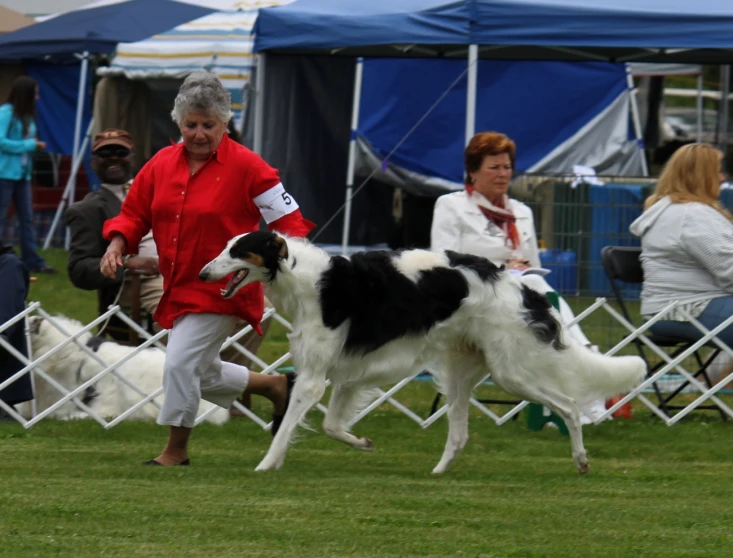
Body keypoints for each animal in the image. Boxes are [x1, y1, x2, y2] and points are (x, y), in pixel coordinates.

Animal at [199, 233, 640, 476]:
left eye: (238, 250)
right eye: (223, 246)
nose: (202, 273)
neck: (306, 280)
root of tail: (519, 283)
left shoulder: (312, 378)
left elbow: (287, 429)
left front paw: (265, 465)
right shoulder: (349, 374)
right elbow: (332, 426)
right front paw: (362, 442)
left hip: (512, 371)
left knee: (568, 406)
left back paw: (581, 460)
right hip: (461, 372)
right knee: (460, 435)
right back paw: (439, 471)